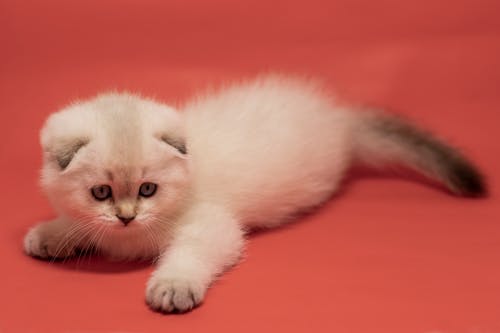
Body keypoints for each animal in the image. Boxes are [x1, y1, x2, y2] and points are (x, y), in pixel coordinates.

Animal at [22, 74, 484, 312]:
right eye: (101, 192)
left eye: (148, 189)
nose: (126, 216)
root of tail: (342, 118)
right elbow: (78, 225)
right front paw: (51, 234)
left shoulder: (212, 226)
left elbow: (192, 253)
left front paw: (173, 285)